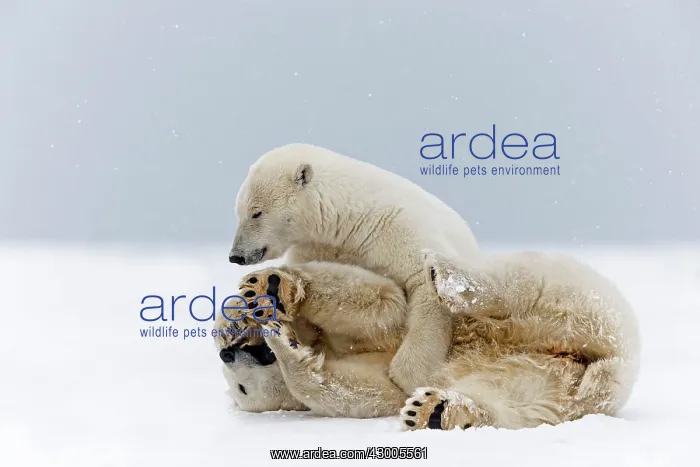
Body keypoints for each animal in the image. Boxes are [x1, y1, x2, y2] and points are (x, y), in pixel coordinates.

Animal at [214, 250, 640, 430]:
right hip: (543, 378)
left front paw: (268, 290)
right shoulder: (367, 380)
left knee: (521, 284)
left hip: (571, 294)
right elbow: (357, 388)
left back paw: (449, 278)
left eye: (227, 350)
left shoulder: (390, 327)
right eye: (243, 389)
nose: (233, 353)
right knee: (505, 400)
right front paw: (288, 347)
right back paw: (435, 410)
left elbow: (384, 302)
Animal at [227, 143, 480, 394]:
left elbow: (425, 281)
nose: (236, 255)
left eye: (256, 212)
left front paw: (409, 375)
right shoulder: (317, 246)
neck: (353, 220)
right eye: (238, 212)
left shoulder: (401, 231)